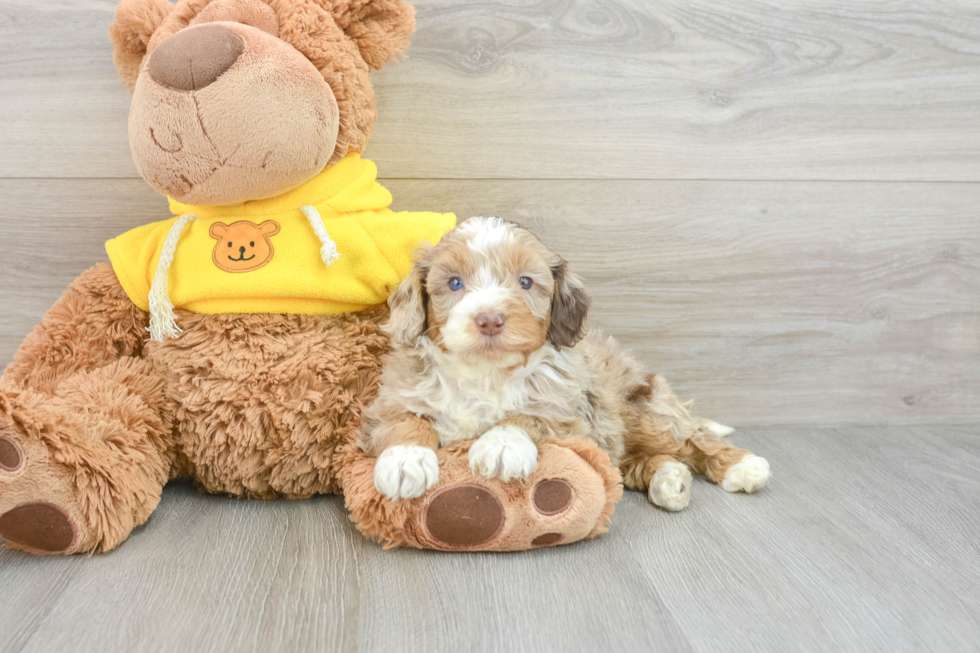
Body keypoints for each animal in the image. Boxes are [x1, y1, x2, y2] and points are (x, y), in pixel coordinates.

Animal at [356, 216, 768, 506]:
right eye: (455, 283)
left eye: (525, 282)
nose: (489, 319)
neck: (487, 373)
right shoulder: (391, 400)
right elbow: (404, 421)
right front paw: (405, 461)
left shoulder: (569, 414)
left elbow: (529, 415)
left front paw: (501, 444)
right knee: (634, 463)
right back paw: (669, 479)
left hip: (645, 409)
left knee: (694, 437)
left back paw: (742, 466)